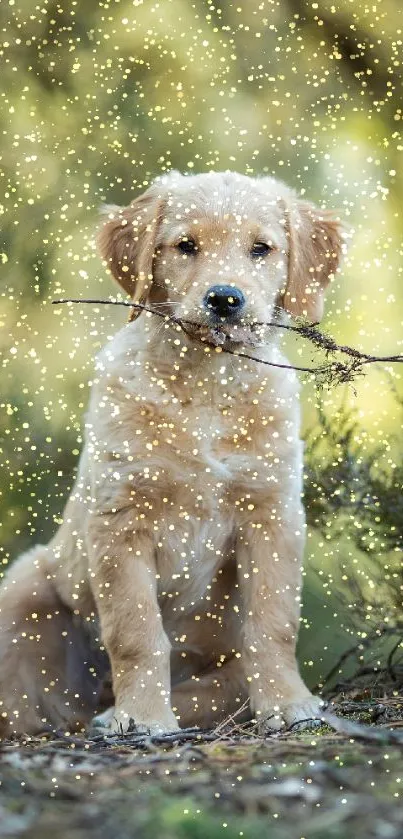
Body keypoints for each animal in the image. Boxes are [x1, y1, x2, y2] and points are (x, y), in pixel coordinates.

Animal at [0, 171, 344, 736]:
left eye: (261, 248)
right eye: (186, 246)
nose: (224, 299)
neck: (207, 384)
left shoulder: (272, 513)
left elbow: (273, 622)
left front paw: (289, 704)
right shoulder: (119, 518)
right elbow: (136, 630)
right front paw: (141, 718)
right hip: (26, 585)